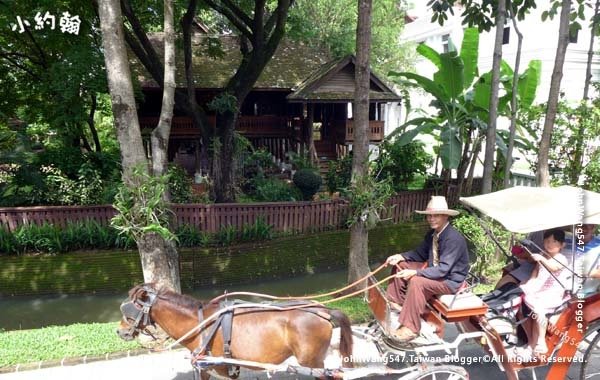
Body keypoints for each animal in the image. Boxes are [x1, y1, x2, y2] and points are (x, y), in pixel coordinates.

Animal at [116, 282, 352, 378]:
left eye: (130, 307)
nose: (119, 331)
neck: (200, 324)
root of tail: (324, 311)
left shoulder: (210, 366)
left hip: (312, 361)